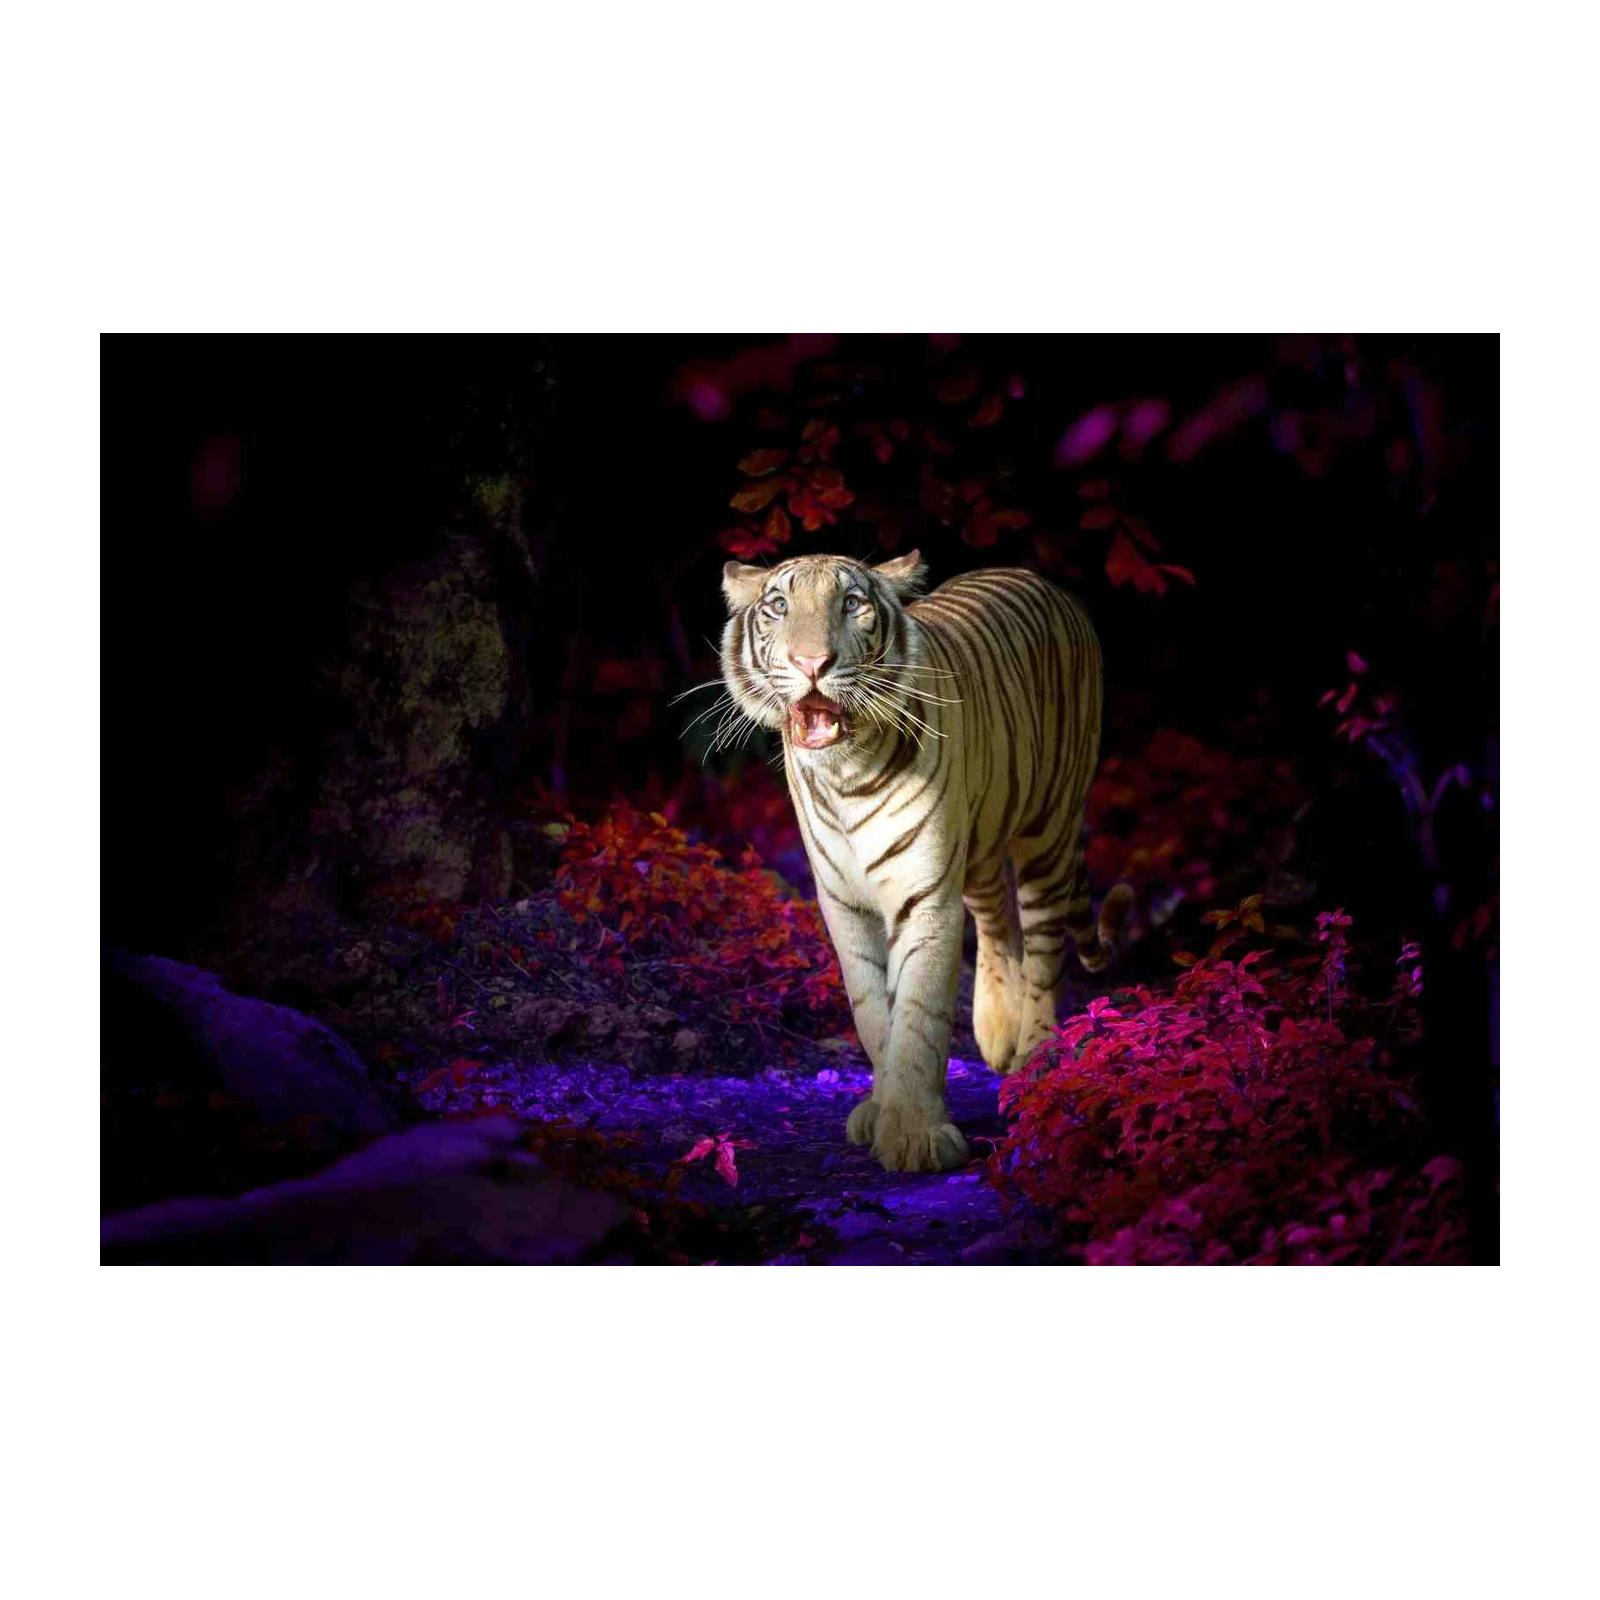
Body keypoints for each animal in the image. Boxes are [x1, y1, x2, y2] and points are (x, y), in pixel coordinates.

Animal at [718, 548, 1131, 1173]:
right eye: (779, 606)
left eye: (852, 604)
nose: (811, 663)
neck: (847, 775)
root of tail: (1038, 578)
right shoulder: (842, 902)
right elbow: (871, 1009)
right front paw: (880, 1107)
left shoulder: (926, 896)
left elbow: (919, 1012)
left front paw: (915, 1135)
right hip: (981, 838)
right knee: (997, 919)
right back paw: (996, 1029)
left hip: (1049, 830)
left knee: (1042, 950)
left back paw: (1035, 1058)